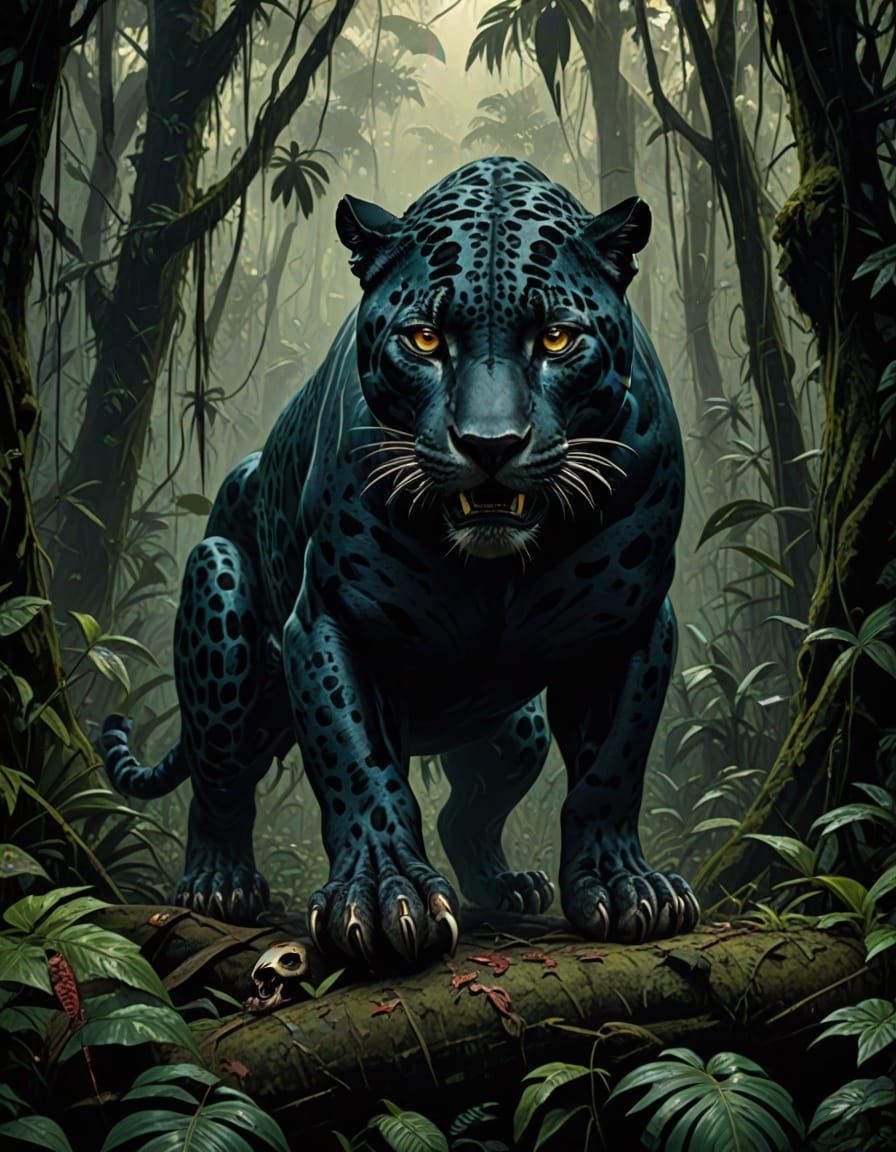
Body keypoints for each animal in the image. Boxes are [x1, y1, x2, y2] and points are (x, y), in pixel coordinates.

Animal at [103, 156, 699, 968]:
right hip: (219, 600)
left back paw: (507, 886)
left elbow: (614, 764)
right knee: (221, 780)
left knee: (468, 812)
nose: (489, 444)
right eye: (423, 339)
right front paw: (383, 897)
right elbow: (358, 762)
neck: (494, 571)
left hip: (514, 732)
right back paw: (218, 884)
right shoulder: (328, 620)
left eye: (555, 339)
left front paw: (623, 884)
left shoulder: (631, 625)